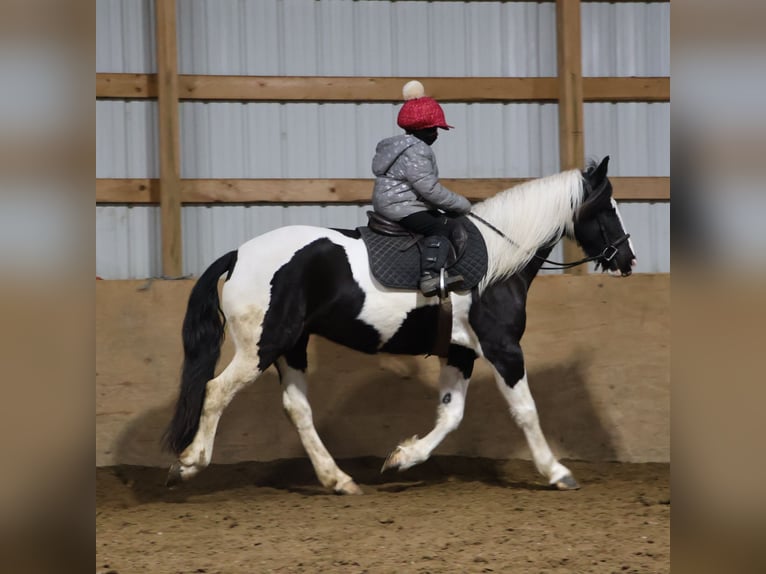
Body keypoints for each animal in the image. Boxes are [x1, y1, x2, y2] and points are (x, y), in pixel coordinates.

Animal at [163, 156, 636, 494]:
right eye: (608, 209)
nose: (627, 259)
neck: (498, 262)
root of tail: (238, 254)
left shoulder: (461, 351)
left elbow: (451, 415)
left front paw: (402, 457)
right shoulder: (502, 348)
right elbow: (525, 410)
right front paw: (556, 471)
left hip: (290, 346)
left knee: (297, 409)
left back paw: (338, 480)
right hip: (260, 347)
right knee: (215, 391)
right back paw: (189, 463)